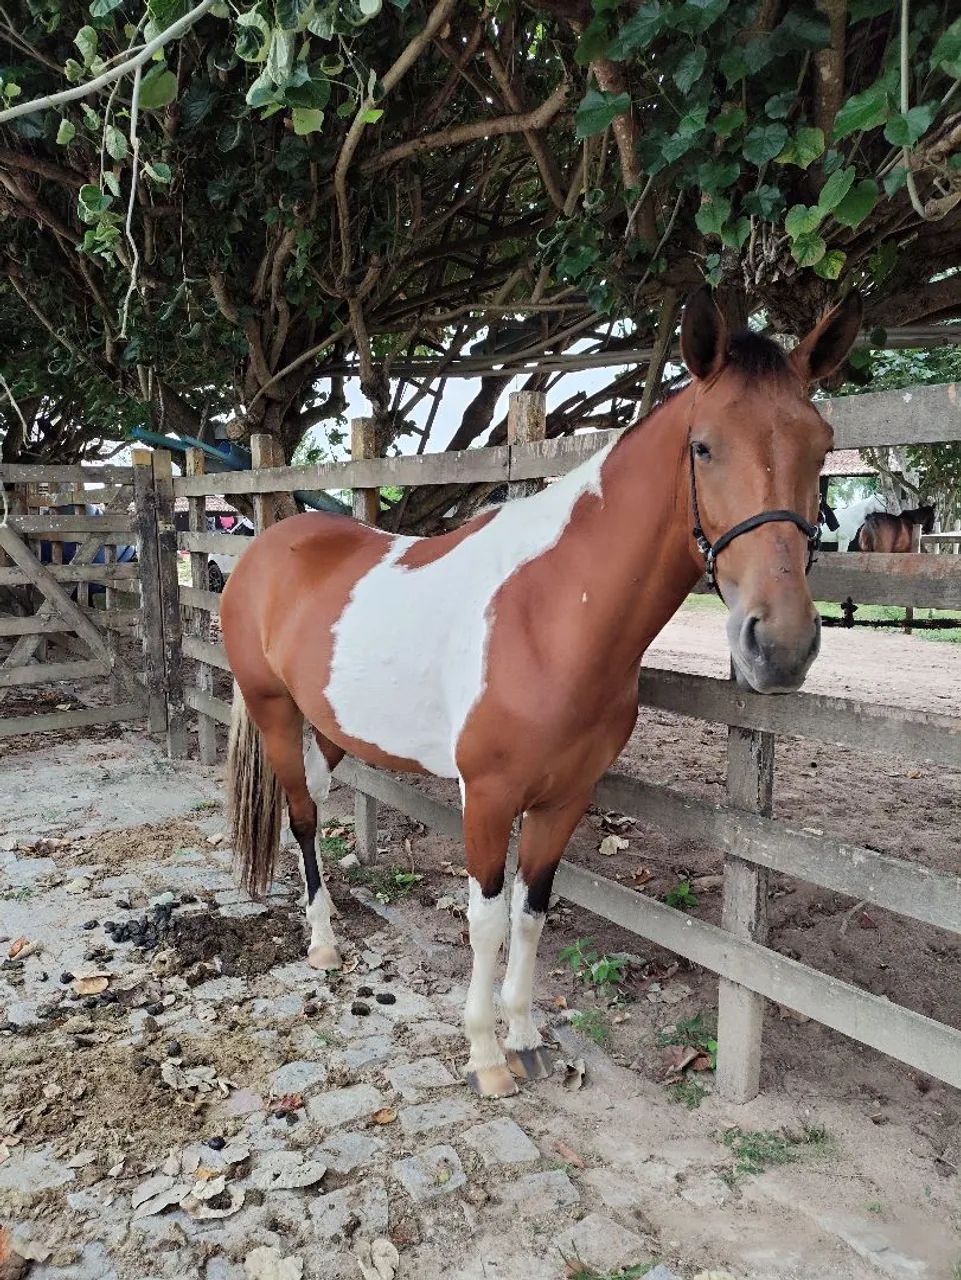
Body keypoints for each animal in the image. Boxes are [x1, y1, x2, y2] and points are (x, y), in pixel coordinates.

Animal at [219, 287, 862, 1099]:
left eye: (821, 445)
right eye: (703, 446)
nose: (779, 645)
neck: (549, 616)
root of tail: (263, 547)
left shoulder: (565, 799)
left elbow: (531, 913)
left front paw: (524, 1037)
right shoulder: (488, 799)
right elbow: (487, 921)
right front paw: (485, 1055)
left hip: (332, 724)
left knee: (313, 794)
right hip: (274, 711)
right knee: (301, 815)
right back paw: (324, 942)